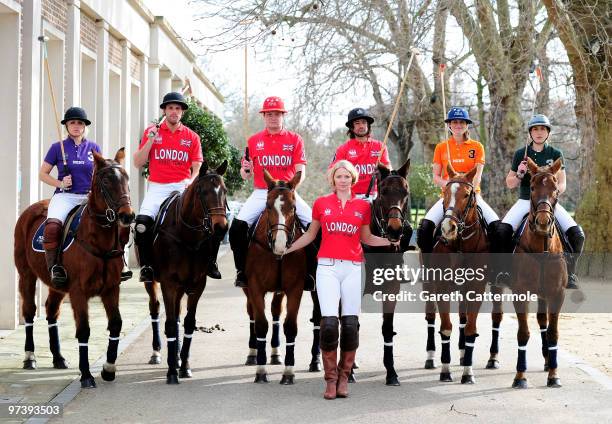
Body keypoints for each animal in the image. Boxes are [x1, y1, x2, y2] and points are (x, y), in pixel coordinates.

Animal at [13, 149, 134, 388]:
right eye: (106, 180)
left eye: (126, 178)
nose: (128, 215)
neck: (99, 240)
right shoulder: (79, 292)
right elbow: (84, 330)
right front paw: (86, 375)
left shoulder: (111, 289)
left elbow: (116, 324)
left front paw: (108, 369)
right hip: (26, 275)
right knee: (29, 311)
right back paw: (30, 357)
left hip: (57, 284)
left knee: (51, 310)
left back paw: (58, 357)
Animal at [143, 160, 227, 384]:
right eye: (204, 192)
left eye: (224, 191)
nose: (221, 228)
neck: (187, 236)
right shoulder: (168, 284)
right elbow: (171, 324)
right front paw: (172, 371)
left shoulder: (197, 284)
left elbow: (188, 323)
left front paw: (184, 365)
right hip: (152, 282)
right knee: (155, 308)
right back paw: (156, 353)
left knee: (179, 315)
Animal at [246, 169, 306, 384]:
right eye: (267, 206)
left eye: (294, 207)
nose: (280, 245)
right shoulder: (255, 287)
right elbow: (261, 325)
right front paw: (261, 370)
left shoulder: (295, 288)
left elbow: (290, 326)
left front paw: (288, 372)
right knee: (252, 314)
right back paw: (253, 353)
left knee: (275, 311)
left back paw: (275, 353)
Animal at [430, 166, 492, 384]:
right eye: (445, 193)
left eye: (466, 195)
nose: (448, 228)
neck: (461, 243)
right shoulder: (441, 287)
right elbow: (446, 326)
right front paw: (445, 370)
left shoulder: (476, 288)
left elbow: (470, 328)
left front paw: (468, 372)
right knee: (431, 318)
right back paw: (430, 358)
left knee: (464, 320)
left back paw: (465, 354)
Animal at [510, 158, 568, 388]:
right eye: (532, 187)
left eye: (555, 189)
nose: (543, 222)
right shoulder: (520, 292)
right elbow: (523, 333)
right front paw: (520, 376)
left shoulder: (557, 294)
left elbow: (553, 333)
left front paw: (554, 374)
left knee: (543, 320)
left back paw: (547, 359)